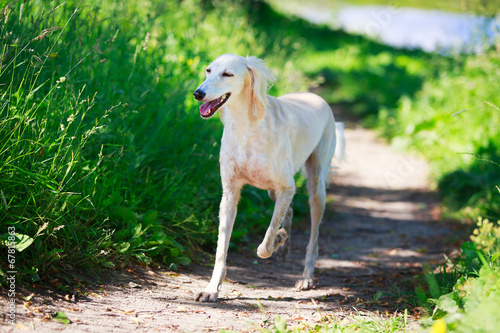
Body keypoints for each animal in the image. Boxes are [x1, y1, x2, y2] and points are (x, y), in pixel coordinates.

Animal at [191, 53, 344, 300]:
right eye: (208, 70)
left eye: (227, 74)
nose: (198, 93)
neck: (246, 126)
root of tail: (314, 96)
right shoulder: (230, 193)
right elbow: (222, 248)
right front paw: (211, 288)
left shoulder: (287, 187)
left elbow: (266, 242)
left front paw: (278, 239)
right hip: (274, 191)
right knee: (289, 211)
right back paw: (285, 246)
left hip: (316, 187)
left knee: (313, 239)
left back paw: (305, 277)